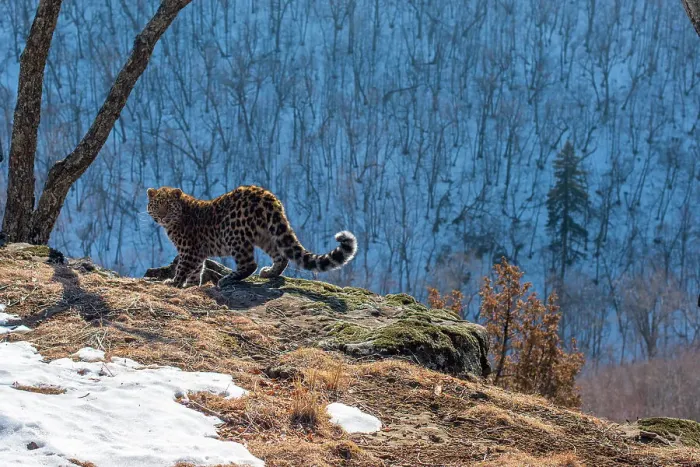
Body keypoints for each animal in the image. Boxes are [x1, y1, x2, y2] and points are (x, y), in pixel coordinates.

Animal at [146, 185, 357, 288]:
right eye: (157, 204)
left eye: (168, 205)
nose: (162, 216)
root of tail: (267, 196)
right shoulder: (198, 253)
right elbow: (196, 271)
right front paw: (189, 286)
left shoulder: (189, 251)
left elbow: (182, 268)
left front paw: (173, 282)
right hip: (267, 234)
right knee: (281, 257)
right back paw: (269, 273)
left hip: (234, 233)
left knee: (249, 264)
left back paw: (227, 279)